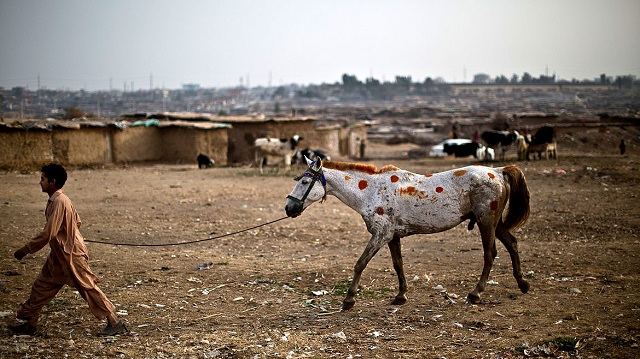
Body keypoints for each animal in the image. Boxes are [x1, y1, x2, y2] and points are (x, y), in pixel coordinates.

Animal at [284, 159, 528, 310]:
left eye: (305, 181)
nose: (289, 208)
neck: (371, 190)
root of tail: (498, 171)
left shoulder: (381, 234)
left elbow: (360, 263)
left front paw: (349, 299)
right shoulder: (393, 236)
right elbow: (398, 264)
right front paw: (401, 295)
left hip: (486, 222)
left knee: (490, 254)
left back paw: (476, 293)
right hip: (494, 223)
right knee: (512, 243)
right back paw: (522, 283)